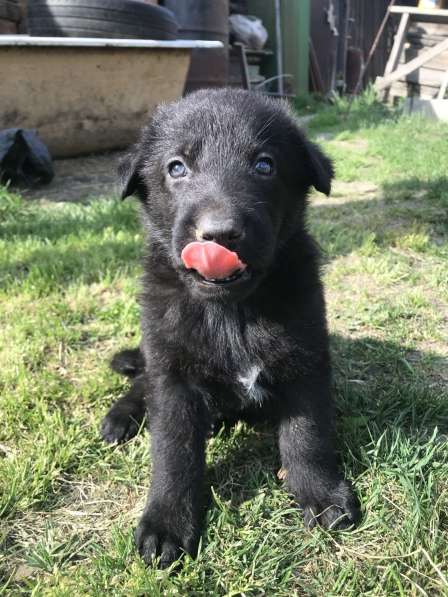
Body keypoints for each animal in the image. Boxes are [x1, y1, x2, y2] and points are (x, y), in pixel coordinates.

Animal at [100, 88, 358, 568]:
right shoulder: (172, 375)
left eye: (264, 165)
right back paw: (120, 418)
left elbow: (308, 434)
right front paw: (167, 521)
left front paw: (319, 492)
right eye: (176, 167)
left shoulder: (306, 359)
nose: (218, 235)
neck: (230, 313)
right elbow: (173, 452)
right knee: (140, 382)